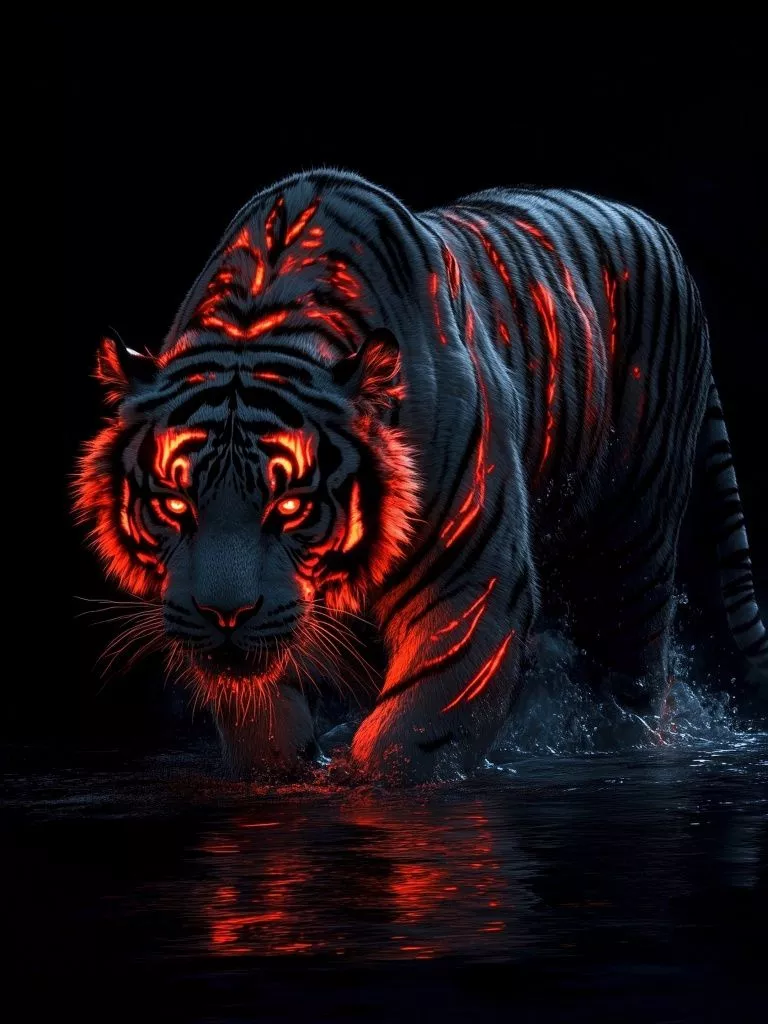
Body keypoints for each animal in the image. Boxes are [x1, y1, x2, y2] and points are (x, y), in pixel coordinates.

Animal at [74, 169, 767, 782]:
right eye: (174, 505)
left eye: (291, 507)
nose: (226, 616)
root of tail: (656, 229)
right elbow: (262, 723)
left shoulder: (470, 582)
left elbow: (416, 732)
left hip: (632, 547)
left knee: (635, 680)